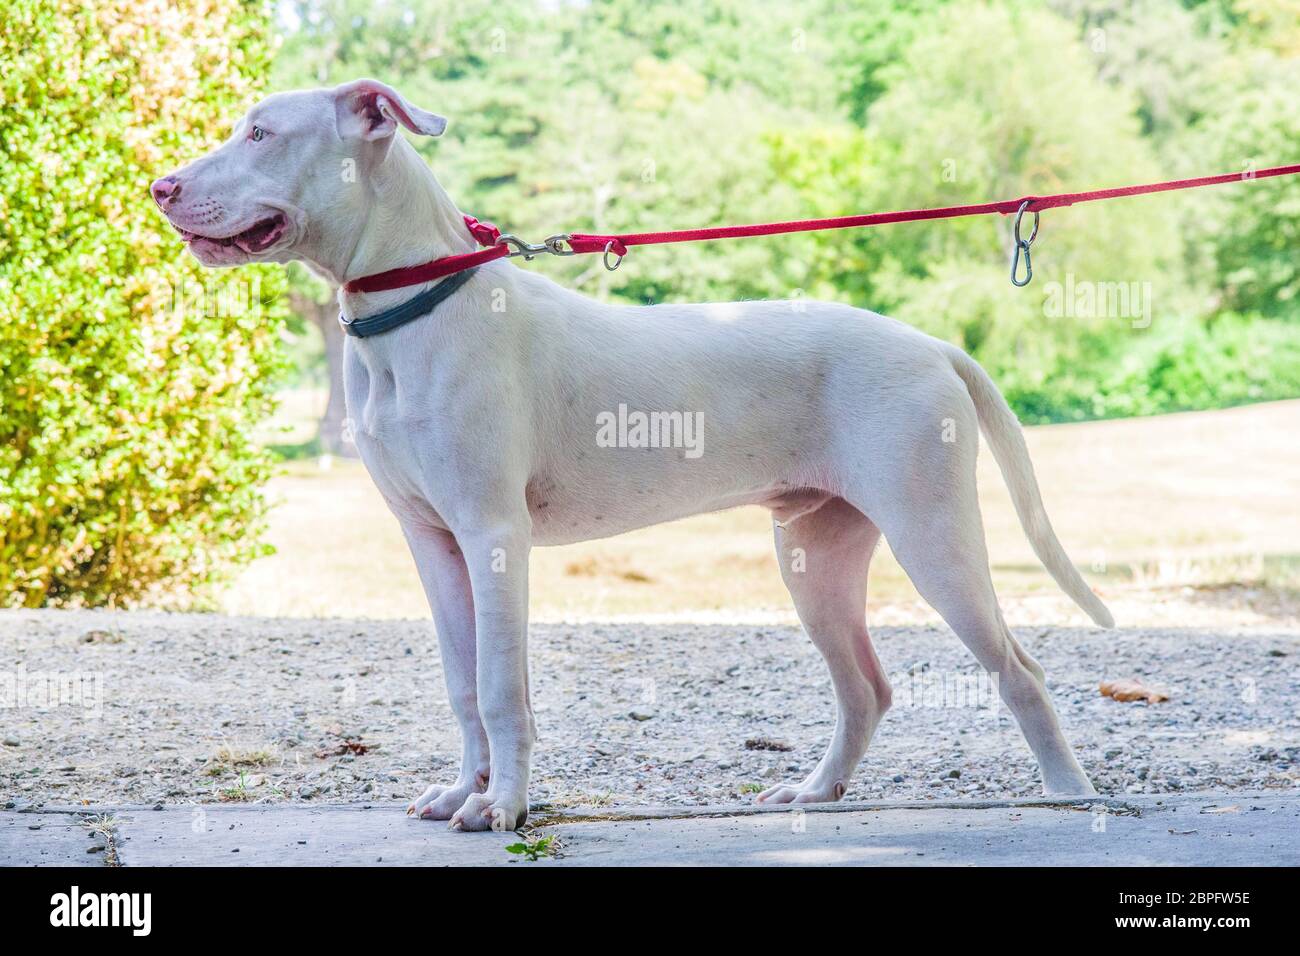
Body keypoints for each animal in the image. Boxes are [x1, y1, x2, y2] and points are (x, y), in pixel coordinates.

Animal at [149, 80, 1107, 832]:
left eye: (262, 134)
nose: (160, 186)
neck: (418, 304)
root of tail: (932, 344)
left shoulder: (493, 537)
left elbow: (500, 688)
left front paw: (503, 808)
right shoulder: (434, 544)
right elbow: (463, 685)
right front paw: (464, 791)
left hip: (931, 531)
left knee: (1020, 670)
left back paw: (1067, 795)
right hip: (815, 550)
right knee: (866, 688)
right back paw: (813, 792)